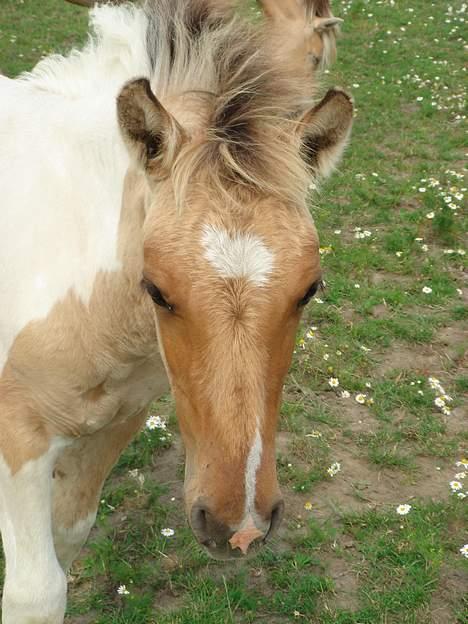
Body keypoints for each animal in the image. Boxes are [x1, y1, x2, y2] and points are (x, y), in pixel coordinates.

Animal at [0, 2, 352, 620]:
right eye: (157, 289)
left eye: (310, 289)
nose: (239, 527)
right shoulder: (18, 437)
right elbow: (35, 590)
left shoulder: (116, 422)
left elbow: (68, 538)